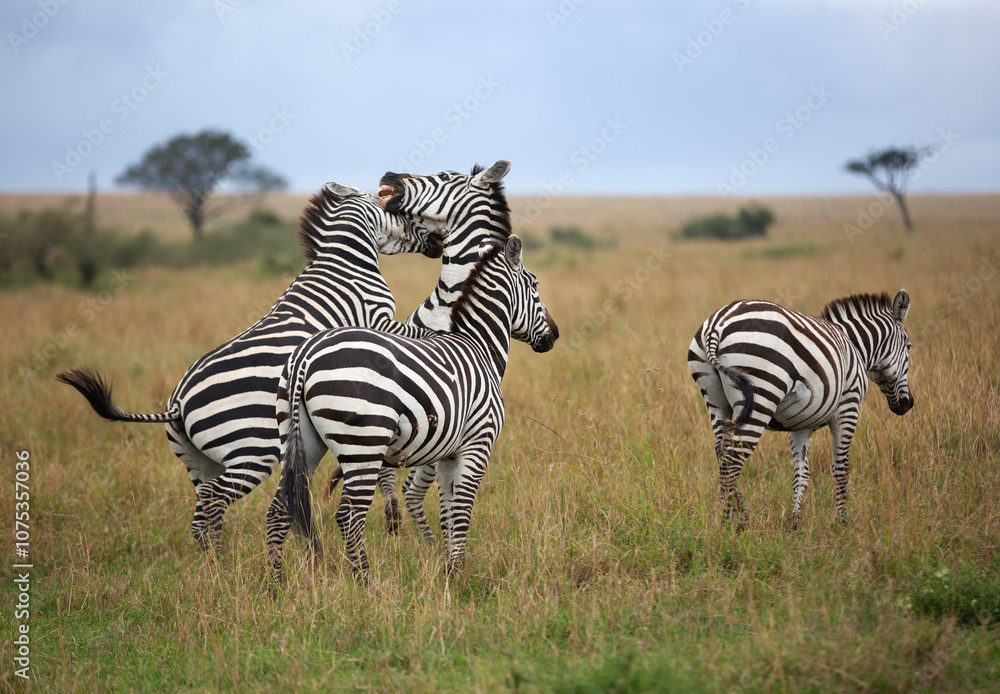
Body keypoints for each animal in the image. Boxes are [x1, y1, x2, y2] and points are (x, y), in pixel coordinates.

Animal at [56, 183, 442, 550]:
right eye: (399, 210)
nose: (438, 242)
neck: (346, 260)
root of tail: (177, 404)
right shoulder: (377, 317)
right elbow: (416, 331)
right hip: (251, 449)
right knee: (215, 501)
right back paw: (224, 563)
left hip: (199, 461)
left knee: (202, 515)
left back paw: (218, 565)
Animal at [266, 235, 559, 581]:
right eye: (535, 285)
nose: (555, 335)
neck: (481, 350)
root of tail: (306, 355)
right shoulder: (478, 443)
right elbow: (463, 510)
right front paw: (458, 575)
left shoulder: (448, 454)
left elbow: (448, 514)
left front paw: (450, 568)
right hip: (363, 443)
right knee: (349, 515)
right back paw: (364, 581)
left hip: (302, 439)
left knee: (280, 509)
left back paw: (275, 583)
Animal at [687, 290, 914, 529]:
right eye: (909, 347)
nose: (907, 404)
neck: (857, 348)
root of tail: (717, 324)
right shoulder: (848, 406)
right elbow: (841, 468)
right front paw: (843, 522)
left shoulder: (800, 425)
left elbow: (802, 475)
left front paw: (794, 522)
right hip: (762, 393)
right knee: (733, 458)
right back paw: (731, 523)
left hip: (715, 400)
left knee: (722, 452)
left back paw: (736, 516)